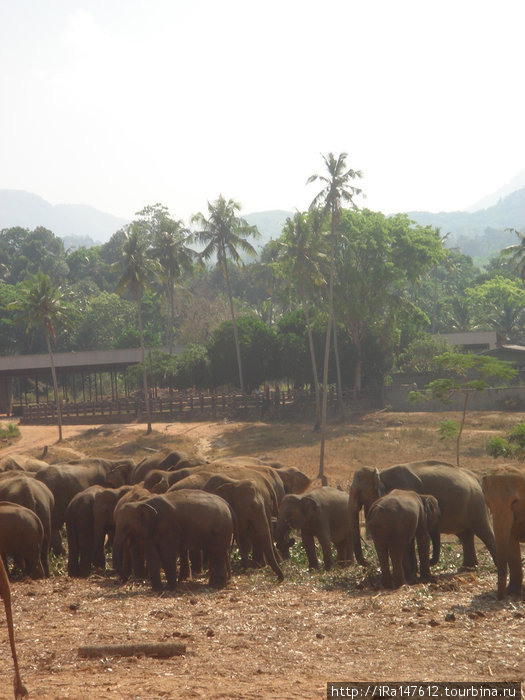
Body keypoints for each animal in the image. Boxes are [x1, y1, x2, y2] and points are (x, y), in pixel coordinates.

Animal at [348, 460, 496, 568]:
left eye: (359, 491)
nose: (369, 563)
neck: (381, 472)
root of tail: (476, 478)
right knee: (465, 535)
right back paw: (468, 568)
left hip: (476, 503)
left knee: (485, 532)